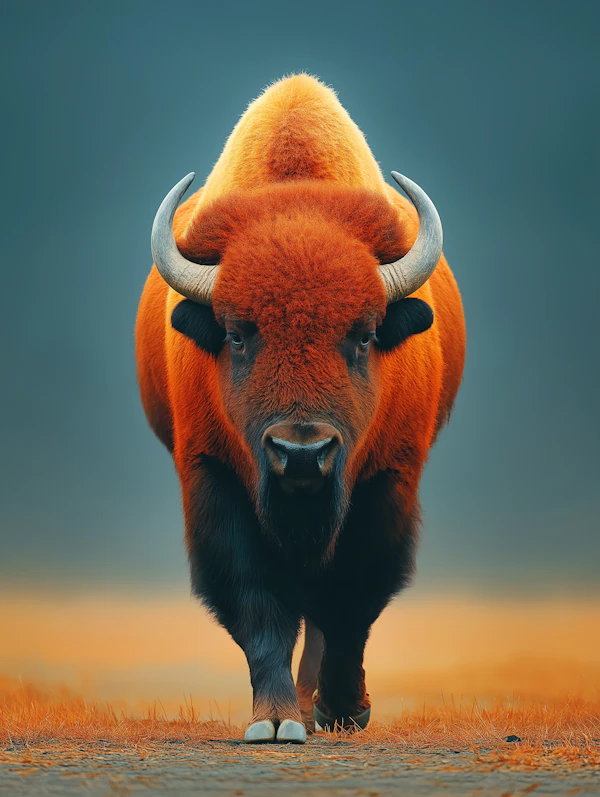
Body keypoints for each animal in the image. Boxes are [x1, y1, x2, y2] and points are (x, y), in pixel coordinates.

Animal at [136, 74, 466, 743]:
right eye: (238, 335)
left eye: (363, 335)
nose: (302, 453)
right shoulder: (213, 480)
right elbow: (259, 603)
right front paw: (274, 720)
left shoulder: (386, 482)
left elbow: (349, 605)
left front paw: (343, 711)